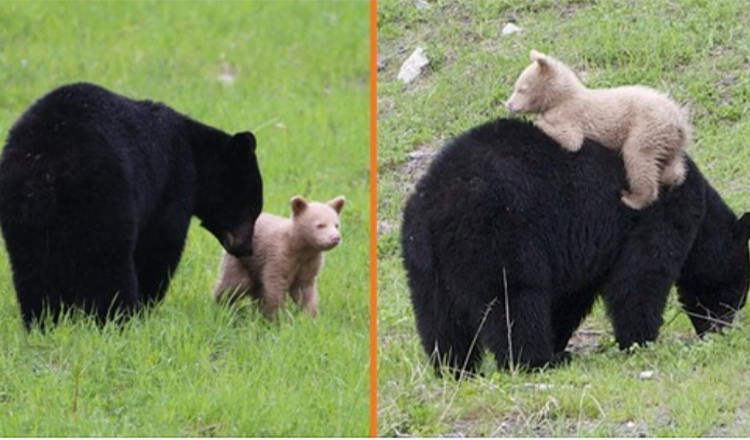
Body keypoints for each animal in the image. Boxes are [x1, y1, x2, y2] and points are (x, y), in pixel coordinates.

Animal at [0, 82, 264, 328]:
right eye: (252, 208)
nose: (247, 249)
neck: (194, 153)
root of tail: (45, 170)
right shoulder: (172, 182)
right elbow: (160, 243)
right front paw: (146, 304)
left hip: (20, 212)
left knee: (32, 269)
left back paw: (42, 321)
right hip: (104, 199)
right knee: (107, 264)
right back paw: (117, 318)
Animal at [402, 117, 750, 374]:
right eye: (738, 293)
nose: (720, 329)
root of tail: (437, 205)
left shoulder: (585, 251)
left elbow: (571, 297)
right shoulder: (657, 217)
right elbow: (640, 278)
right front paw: (641, 341)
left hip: (423, 262)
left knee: (438, 316)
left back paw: (454, 368)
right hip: (497, 237)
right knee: (515, 300)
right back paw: (536, 362)